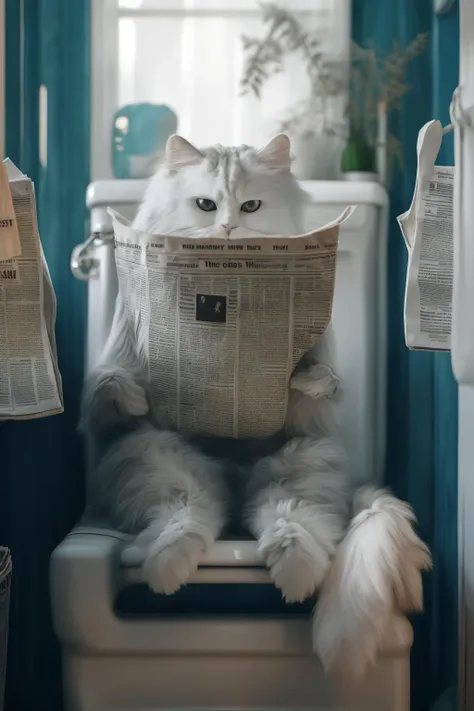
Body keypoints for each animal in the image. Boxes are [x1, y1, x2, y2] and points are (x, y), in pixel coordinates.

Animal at [82, 134, 434, 680]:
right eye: (206, 205)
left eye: (250, 207)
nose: (229, 228)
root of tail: (234, 475)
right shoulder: (115, 386)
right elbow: (112, 387)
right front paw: (135, 393)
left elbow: (317, 383)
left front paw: (309, 380)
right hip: (152, 455)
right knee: (190, 510)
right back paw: (168, 568)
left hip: (301, 464)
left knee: (292, 522)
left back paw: (293, 577)